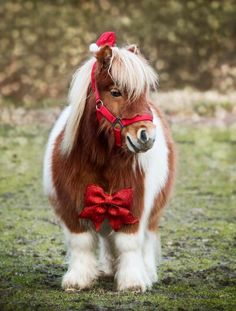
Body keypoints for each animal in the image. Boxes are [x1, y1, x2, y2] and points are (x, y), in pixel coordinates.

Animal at [42, 31, 175, 292]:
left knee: (144, 240)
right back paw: (108, 269)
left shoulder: (135, 204)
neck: (100, 159)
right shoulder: (72, 204)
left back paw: (146, 272)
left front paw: (133, 282)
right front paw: (78, 280)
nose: (146, 136)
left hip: (152, 212)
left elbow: (129, 243)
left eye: (144, 93)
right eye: (115, 92)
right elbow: (81, 242)